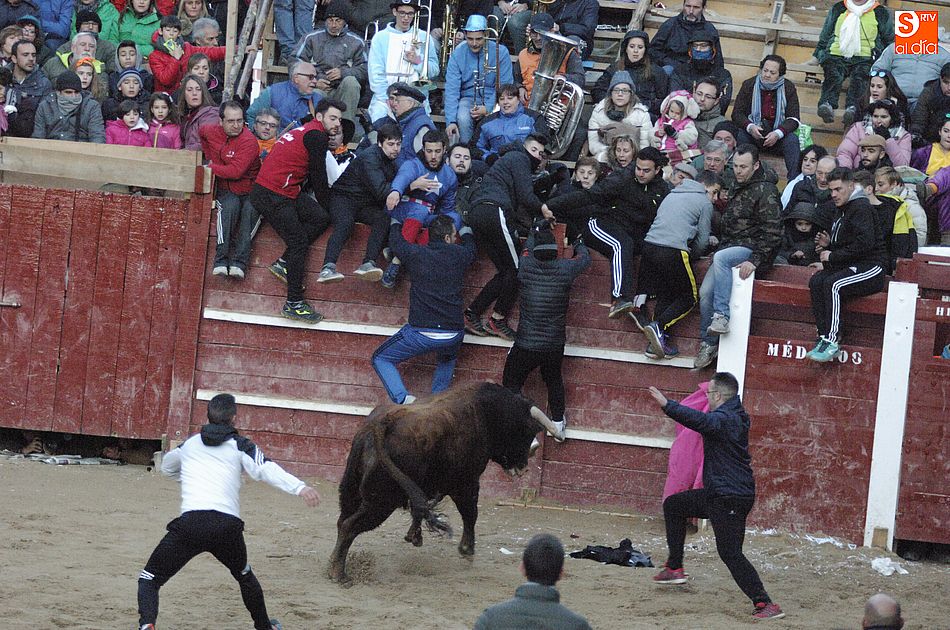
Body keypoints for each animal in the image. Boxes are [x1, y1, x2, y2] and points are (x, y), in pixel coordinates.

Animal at [328, 381, 563, 584]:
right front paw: (467, 550)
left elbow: (422, 508)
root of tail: (381, 424)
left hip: (352, 491)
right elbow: (470, 514)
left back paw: (332, 566)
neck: (487, 413)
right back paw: (339, 574)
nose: (527, 461)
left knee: (341, 521)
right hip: (382, 501)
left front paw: (414, 536)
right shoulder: (466, 483)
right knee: (349, 526)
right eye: (527, 431)